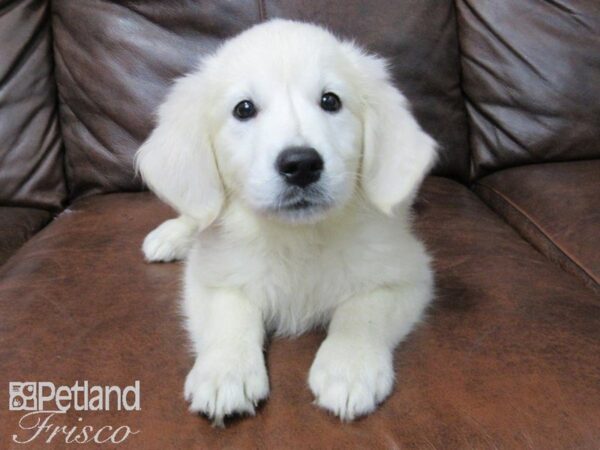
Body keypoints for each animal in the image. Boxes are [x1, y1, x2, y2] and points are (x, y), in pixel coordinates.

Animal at [136, 17, 436, 426]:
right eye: (244, 109)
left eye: (330, 101)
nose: (301, 165)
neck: (298, 236)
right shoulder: (211, 276)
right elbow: (231, 312)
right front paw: (225, 371)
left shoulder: (406, 275)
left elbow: (362, 313)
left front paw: (349, 367)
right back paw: (172, 235)